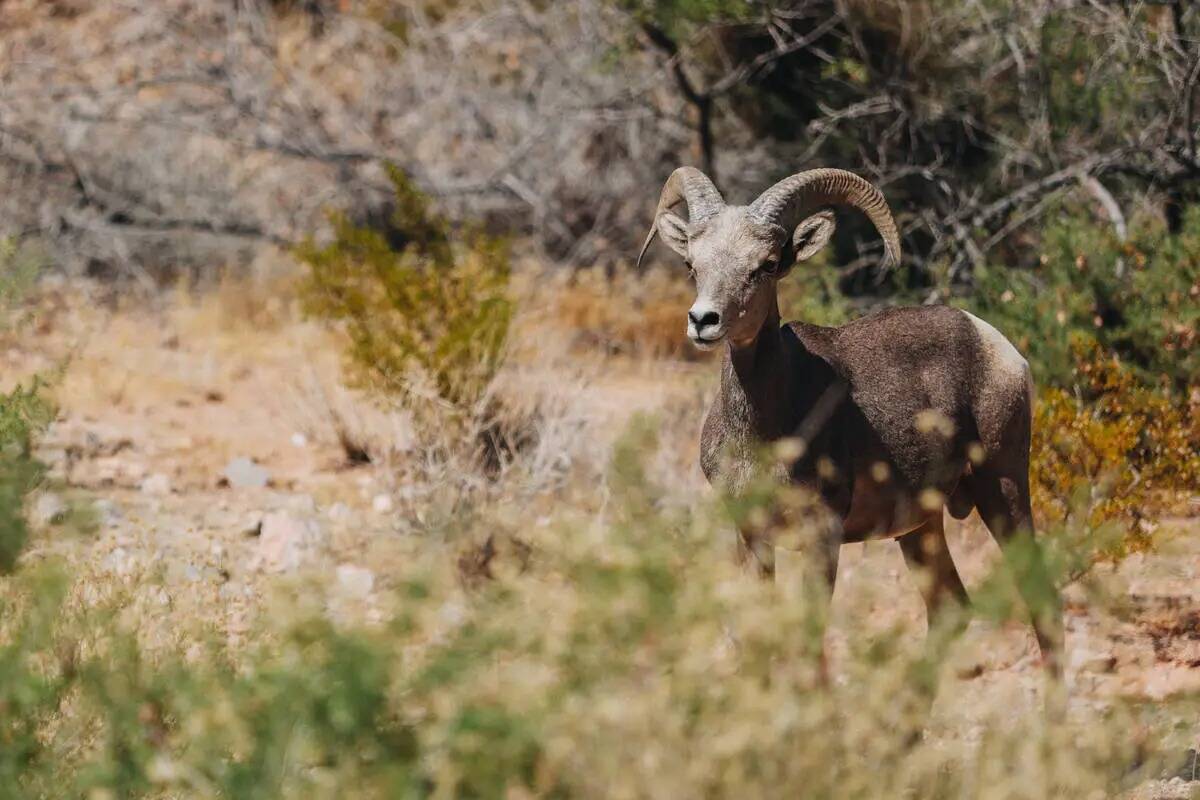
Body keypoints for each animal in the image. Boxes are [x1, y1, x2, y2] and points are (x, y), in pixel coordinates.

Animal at [643, 167, 1065, 676]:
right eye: (692, 265)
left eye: (767, 264)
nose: (704, 320)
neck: (762, 439)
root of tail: (999, 347)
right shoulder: (751, 534)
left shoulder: (822, 536)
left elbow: (810, 641)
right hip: (922, 528)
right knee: (950, 608)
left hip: (1002, 487)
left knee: (1042, 600)